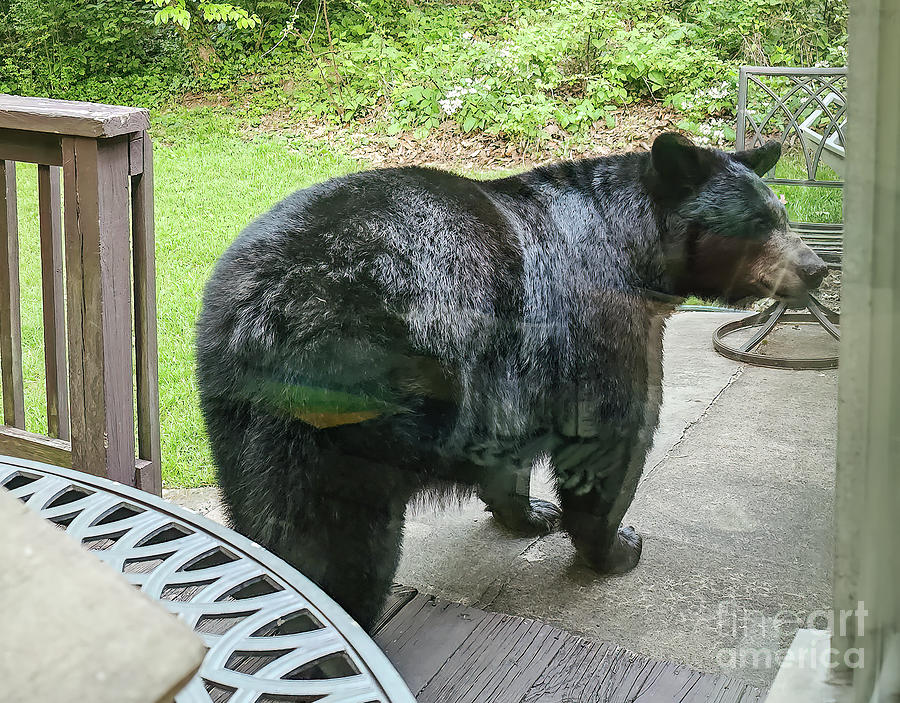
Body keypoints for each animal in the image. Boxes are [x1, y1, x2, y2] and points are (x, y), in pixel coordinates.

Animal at [197, 135, 828, 628]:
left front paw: (530, 515)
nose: (816, 267)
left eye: (782, 212)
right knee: (330, 543)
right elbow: (609, 436)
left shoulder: (513, 375)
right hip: (345, 411)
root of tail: (267, 312)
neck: (632, 246)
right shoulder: (596, 321)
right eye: (759, 223)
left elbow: (512, 452)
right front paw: (616, 548)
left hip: (237, 416)